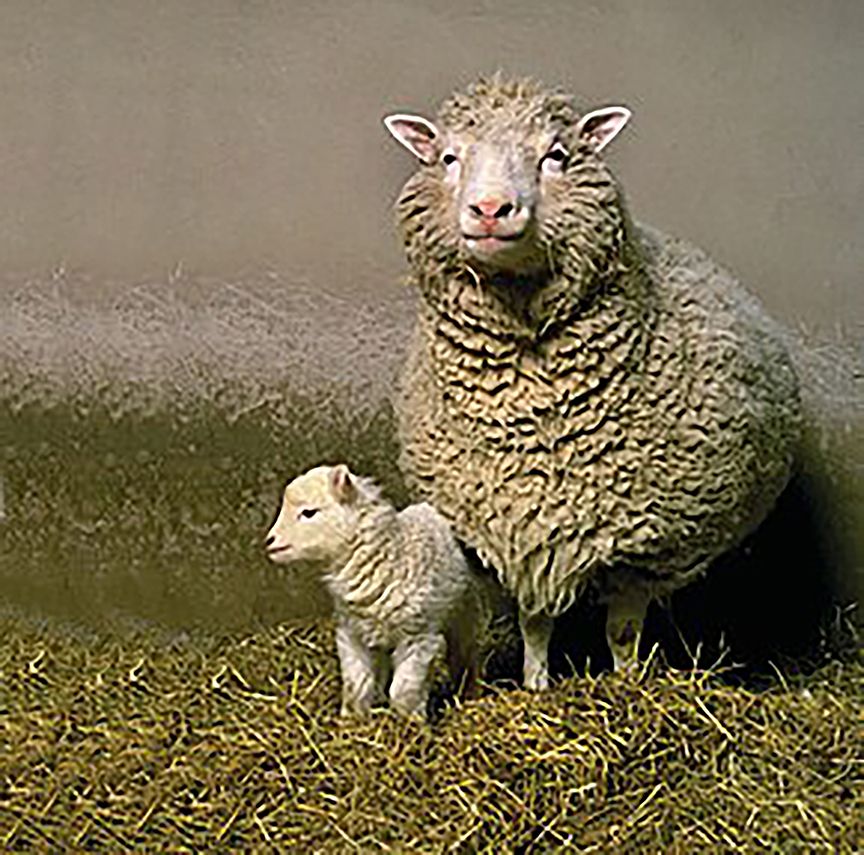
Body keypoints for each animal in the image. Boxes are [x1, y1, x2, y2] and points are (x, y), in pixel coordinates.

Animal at [265, 464, 480, 719]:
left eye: (309, 512)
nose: (269, 541)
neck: (391, 555)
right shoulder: (351, 634)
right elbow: (356, 684)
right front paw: (353, 719)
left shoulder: (419, 637)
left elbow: (404, 690)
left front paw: (409, 722)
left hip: (465, 613)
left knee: (465, 652)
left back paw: (468, 690)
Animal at [382, 74, 802, 689]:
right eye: (448, 157)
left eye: (556, 155)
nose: (490, 208)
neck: (536, 412)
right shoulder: (523, 529)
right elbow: (535, 625)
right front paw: (535, 687)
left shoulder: (645, 546)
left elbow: (622, 632)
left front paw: (628, 687)